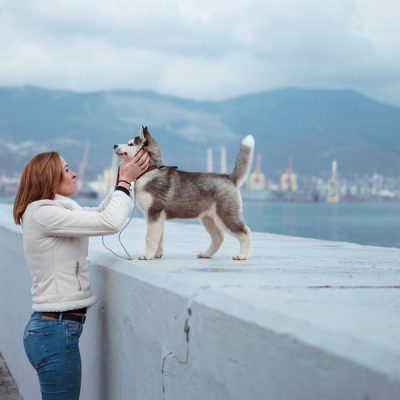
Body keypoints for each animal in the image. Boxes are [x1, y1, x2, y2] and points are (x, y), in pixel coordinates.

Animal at [114, 126, 255, 260]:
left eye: (131, 144)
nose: (114, 145)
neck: (150, 171)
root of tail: (230, 178)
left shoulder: (154, 212)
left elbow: (150, 238)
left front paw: (147, 255)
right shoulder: (157, 217)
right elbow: (159, 237)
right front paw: (156, 254)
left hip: (226, 215)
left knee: (245, 232)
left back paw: (242, 255)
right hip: (208, 218)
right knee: (218, 237)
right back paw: (206, 254)